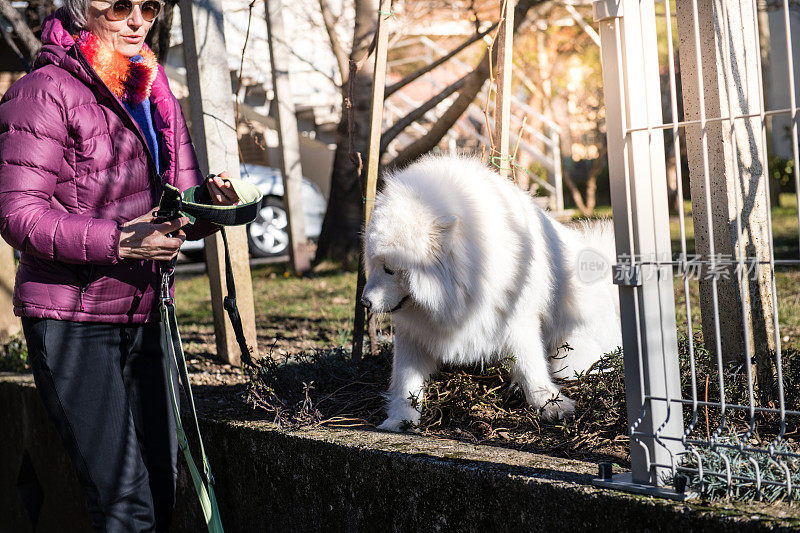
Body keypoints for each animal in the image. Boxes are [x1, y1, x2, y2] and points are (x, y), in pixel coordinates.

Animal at [364, 153, 624, 428]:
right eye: (374, 263)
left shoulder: (517, 321)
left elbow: (531, 365)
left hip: (569, 353)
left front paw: (550, 404)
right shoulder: (414, 334)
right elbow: (405, 380)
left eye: (390, 269)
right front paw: (401, 419)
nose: (364, 302)